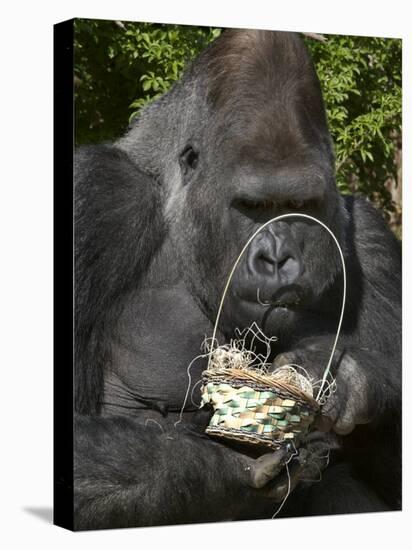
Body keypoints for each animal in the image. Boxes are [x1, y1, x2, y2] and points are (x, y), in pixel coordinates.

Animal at [72, 29, 400, 532]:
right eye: (252, 206)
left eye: (300, 205)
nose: (278, 258)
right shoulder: (95, 197)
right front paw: (236, 465)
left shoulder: (372, 242)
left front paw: (355, 378)